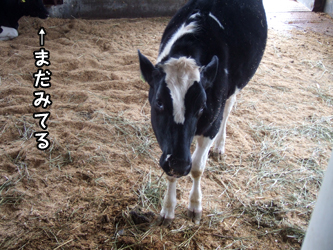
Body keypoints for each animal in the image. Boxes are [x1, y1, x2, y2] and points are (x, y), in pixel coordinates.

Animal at [138, 0, 268, 226]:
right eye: (159, 103)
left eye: (201, 107)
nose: (180, 163)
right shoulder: (166, 143)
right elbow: (170, 172)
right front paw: (168, 209)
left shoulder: (210, 124)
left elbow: (198, 168)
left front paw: (194, 206)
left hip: (235, 86)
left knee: (228, 110)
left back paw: (219, 146)